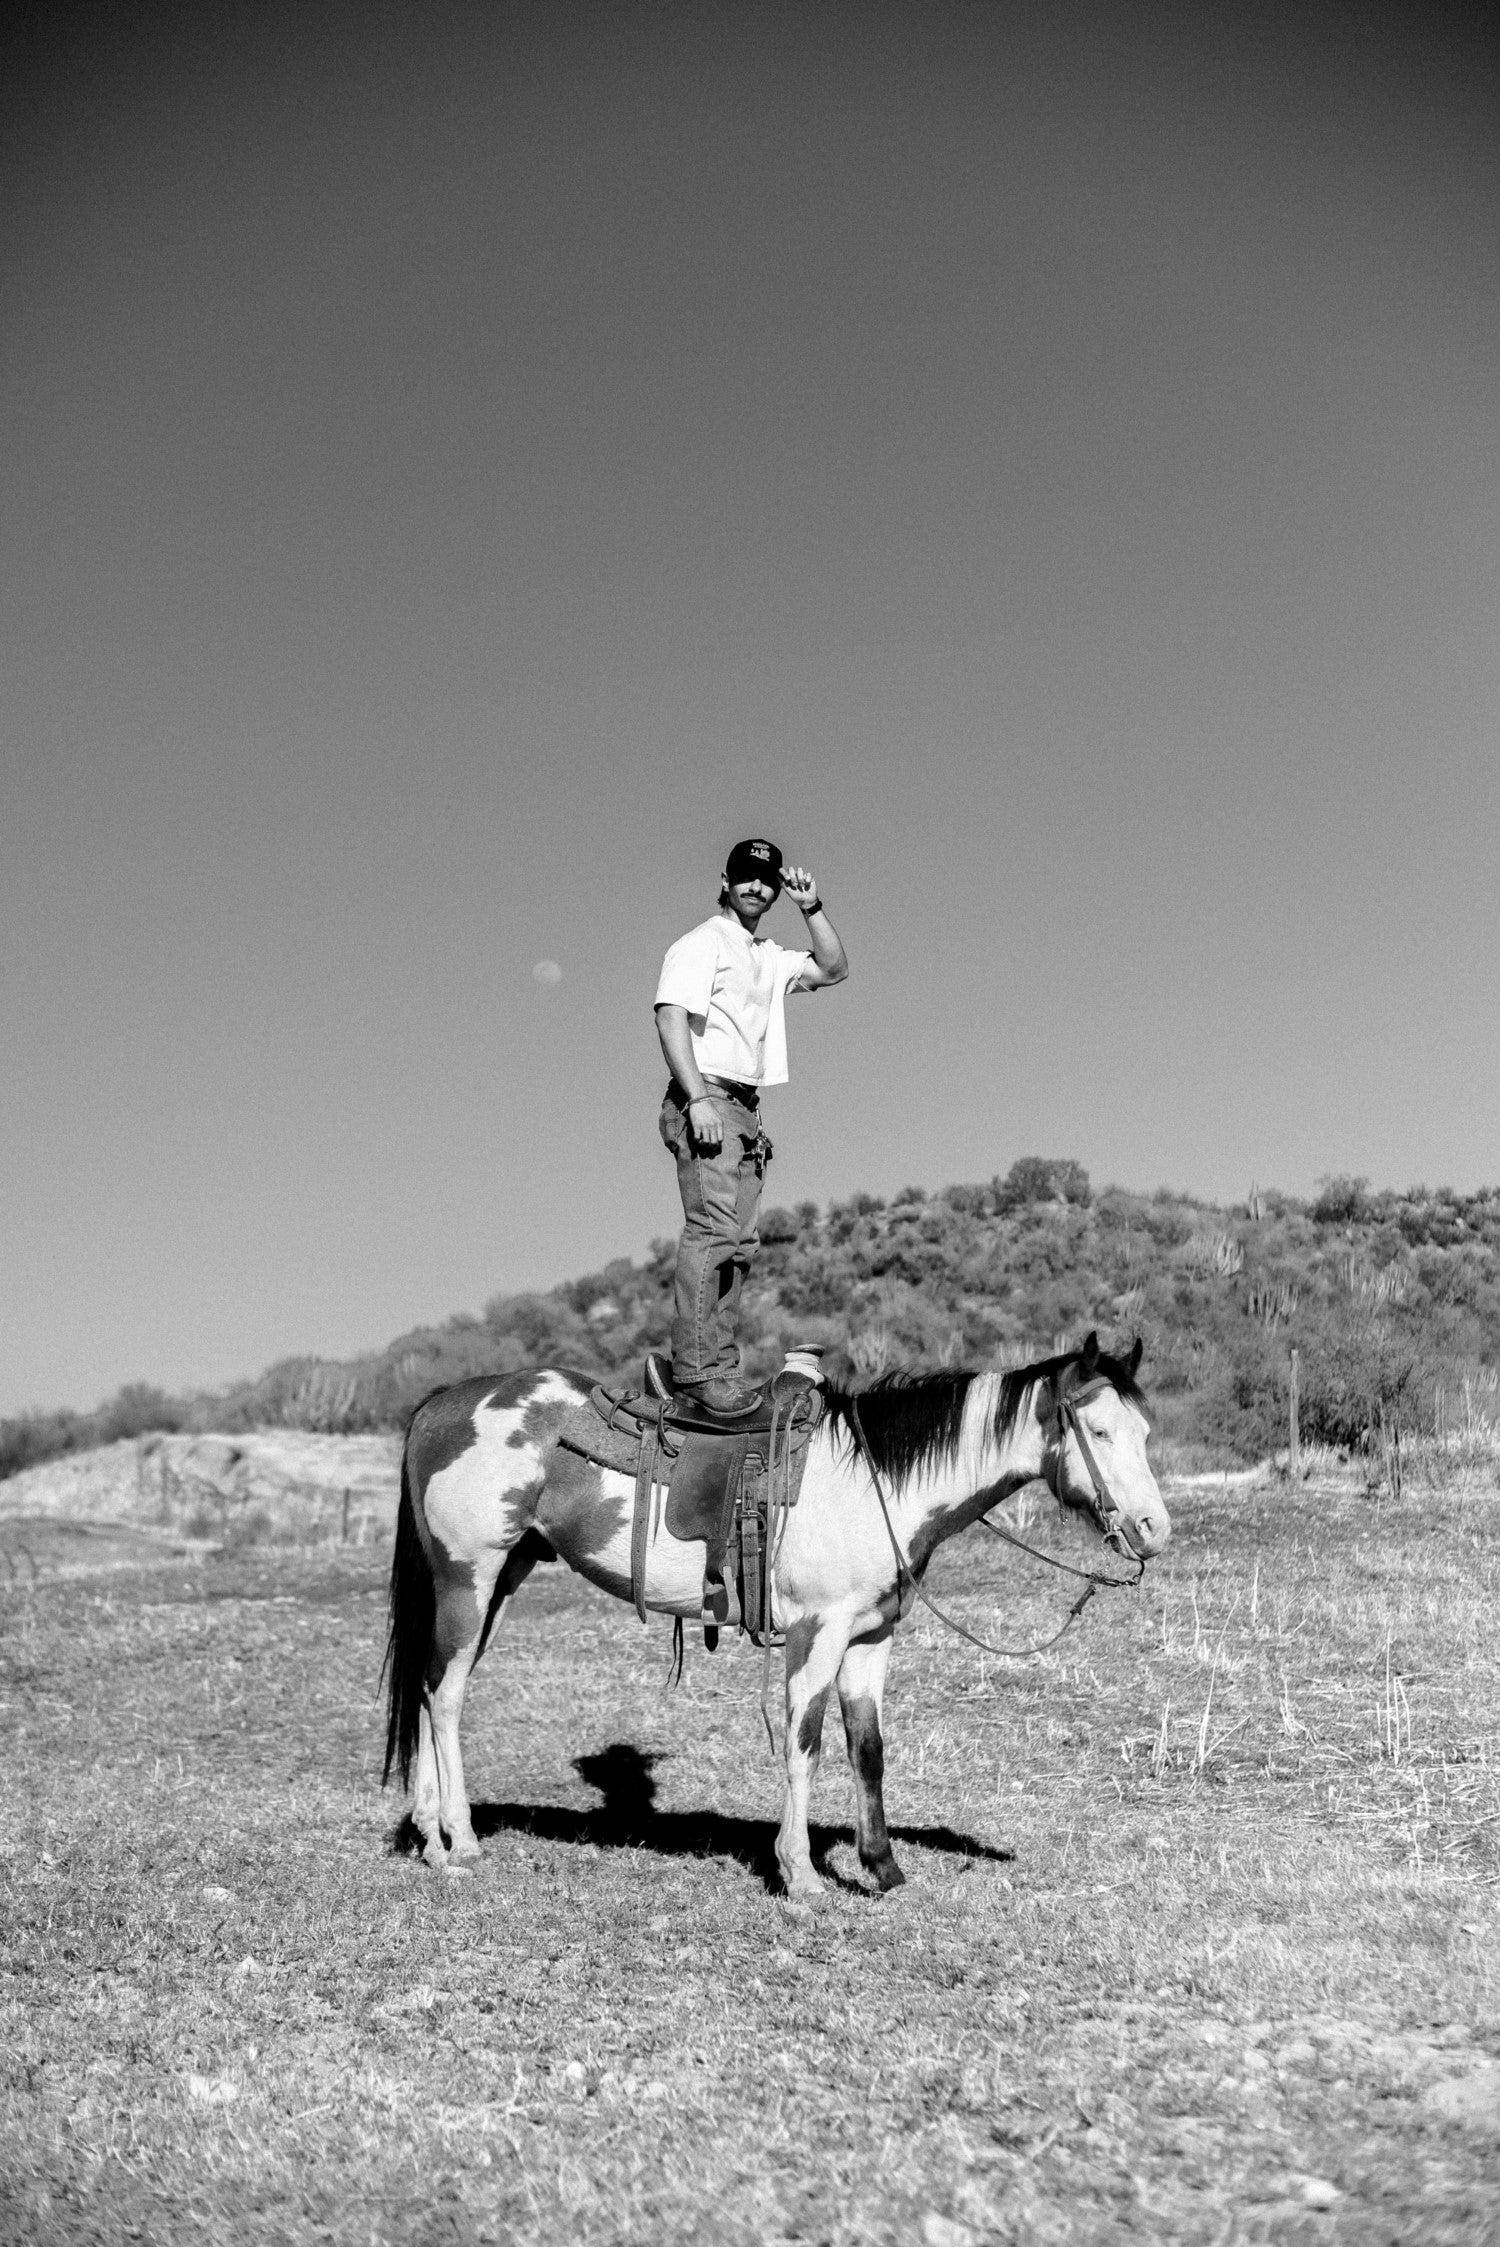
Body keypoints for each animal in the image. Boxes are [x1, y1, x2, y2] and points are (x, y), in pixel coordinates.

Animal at [381, 1330, 1167, 1896]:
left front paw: (882, 1868)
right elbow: (804, 1742)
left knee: (425, 1689)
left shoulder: (871, 1637)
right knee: (445, 1698)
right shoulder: (817, 1633)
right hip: (468, 1577)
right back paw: (460, 1841)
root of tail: (442, 1402)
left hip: (497, 1584)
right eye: (1098, 1432)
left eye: (1145, 1432)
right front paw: (801, 1873)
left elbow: (867, 1749)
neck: (875, 1482)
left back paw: (428, 1835)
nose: (1154, 1529)